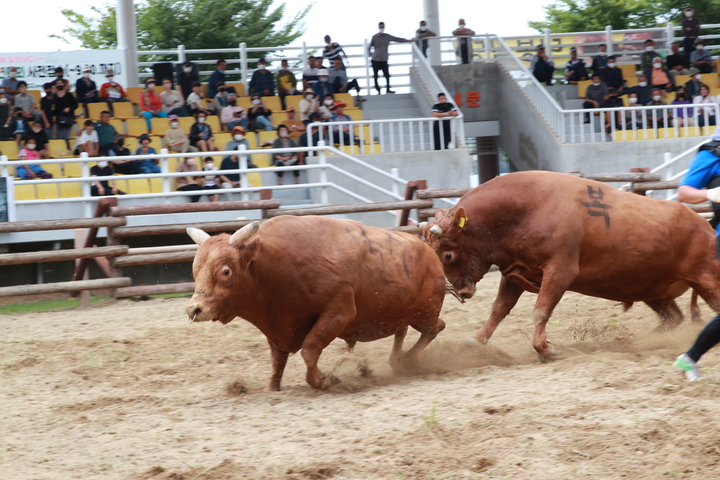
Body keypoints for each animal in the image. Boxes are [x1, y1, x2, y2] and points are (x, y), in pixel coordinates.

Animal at [183, 216, 448, 392]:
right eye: (195, 267)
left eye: (225, 271)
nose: (195, 309)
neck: (278, 265)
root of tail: (429, 253)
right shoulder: (276, 325)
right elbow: (277, 359)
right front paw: (272, 386)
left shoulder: (339, 312)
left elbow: (309, 350)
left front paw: (323, 380)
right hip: (400, 314)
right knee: (404, 331)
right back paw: (397, 360)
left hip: (424, 313)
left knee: (436, 328)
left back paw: (406, 361)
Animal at [422, 172, 720, 360]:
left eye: (447, 255)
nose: (461, 291)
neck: (525, 208)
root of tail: (705, 226)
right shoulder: (513, 273)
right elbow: (499, 309)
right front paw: (477, 340)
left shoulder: (560, 271)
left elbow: (540, 311)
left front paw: (544, 348)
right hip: (654, 292)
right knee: (673, 318)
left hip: (707, 281)